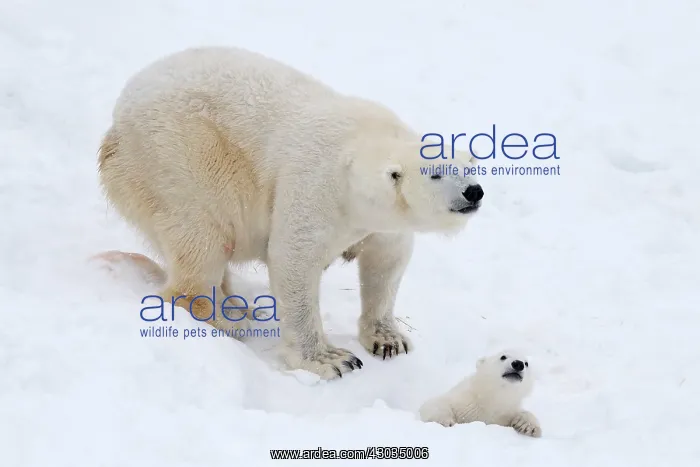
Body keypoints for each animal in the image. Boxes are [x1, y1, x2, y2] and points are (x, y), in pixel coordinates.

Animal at [96, 46, 484, 380]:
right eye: (436, 173)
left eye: (469, 166)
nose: (473, 192)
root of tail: (114, 129)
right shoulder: (315, 183)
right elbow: (294, 259)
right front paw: (332, 359)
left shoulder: (382, 221)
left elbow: (387, 262)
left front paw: (388, 339)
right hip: (180, 157)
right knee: (201, 239)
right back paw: (228, 318)